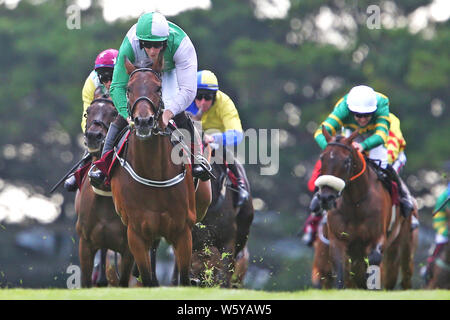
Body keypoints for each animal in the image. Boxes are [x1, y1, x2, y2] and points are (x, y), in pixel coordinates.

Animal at [74, 95, 134, 288]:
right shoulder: (85, 243)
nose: (93, 135)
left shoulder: (129, 249)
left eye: (114, 112)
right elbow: (86, 281)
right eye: (87, 112)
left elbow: (124, 281)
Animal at [109, 58, 197, 288]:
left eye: (158, 88)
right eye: (129, 89)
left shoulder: (183, 231)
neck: (153, 172)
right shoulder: (136, 234)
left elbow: (184, 279)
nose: (143, 121)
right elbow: (148, 279)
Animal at [316, 127, 414, 290]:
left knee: (400, 272)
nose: (326, 197)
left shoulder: (376, 238)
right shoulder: (337, 240)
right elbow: (341, 272)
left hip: (402, 242)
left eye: (346, 161)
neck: (355, 203)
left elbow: (372, 262)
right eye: (322, 158)